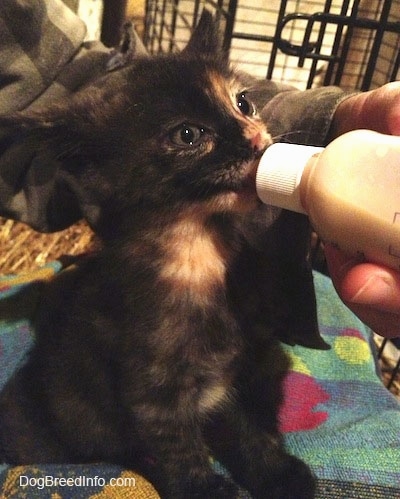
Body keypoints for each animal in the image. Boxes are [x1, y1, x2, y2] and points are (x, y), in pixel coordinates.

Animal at [0, 9, 324, 498]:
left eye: (243, 102)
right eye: (188, 134)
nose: (255, 139)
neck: (199, 251)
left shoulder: (239, 367)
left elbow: (248, 426)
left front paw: (275, 473)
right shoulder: (153, 389)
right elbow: (177, 447)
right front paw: (205, 489)